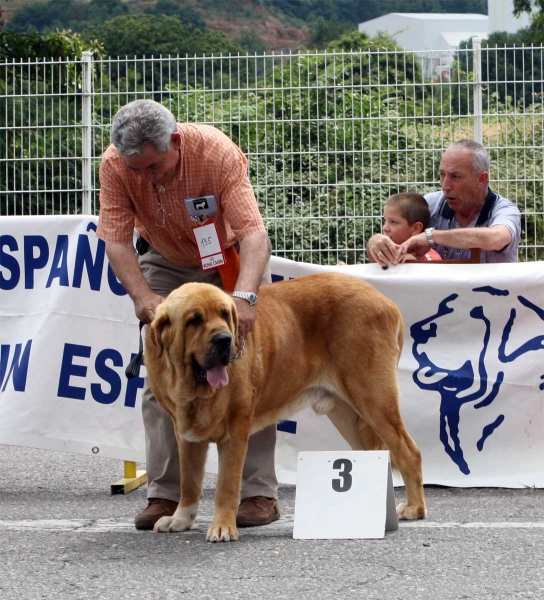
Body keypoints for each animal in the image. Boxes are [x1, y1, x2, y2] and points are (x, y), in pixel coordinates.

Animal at [147, 274, 428, 544]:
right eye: (194, 320)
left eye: (225, 315)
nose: (225, 339)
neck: (191, 387)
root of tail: (387, 302)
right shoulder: (185, 434)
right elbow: (189, 481)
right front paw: (180, 519)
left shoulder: (235, 431)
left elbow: (226, 485)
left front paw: (223, 528)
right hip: (347, 413)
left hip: (373, 399)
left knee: (408, 451)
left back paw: (414, 508)